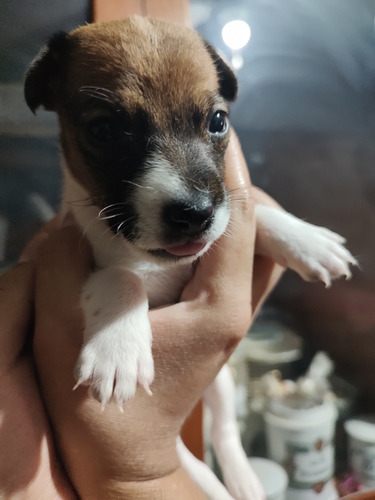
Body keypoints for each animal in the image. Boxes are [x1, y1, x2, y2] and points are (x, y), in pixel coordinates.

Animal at [25, 16, 356, 500]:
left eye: (218, 121)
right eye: (103, 130)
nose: (195, 214)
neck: (157, 262)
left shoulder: (223, 221)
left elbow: (247, 216)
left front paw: (305, 239)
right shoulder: (83, 253)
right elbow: (122, 278)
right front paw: (117, 348)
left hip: (221, 385)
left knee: (223, 430)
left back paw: (242, 479)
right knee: (194, 457)